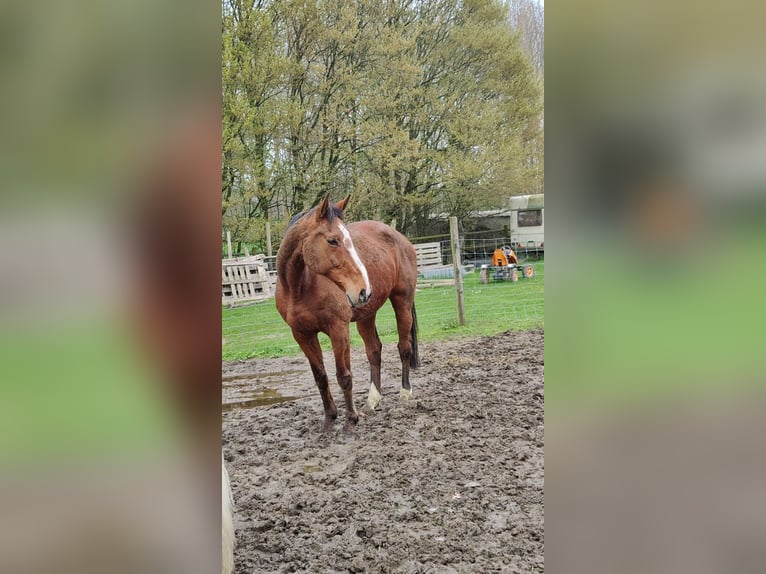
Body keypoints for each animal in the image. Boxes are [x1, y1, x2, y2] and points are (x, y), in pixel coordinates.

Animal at [276, 195, 420, 432]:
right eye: (332, 241)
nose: (363, 290)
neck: (298, 286)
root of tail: (400, 237)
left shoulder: (338, 329)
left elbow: (343, 375)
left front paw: (350, 420)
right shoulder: (302, 335)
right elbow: (321, 376)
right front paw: (329, 419)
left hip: (402, 302)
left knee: (404, 347)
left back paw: (404, 393)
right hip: (366, 315)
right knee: (374, 351)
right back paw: (372, 401)